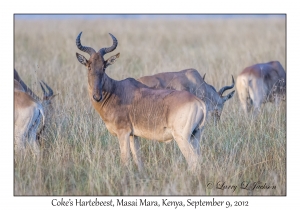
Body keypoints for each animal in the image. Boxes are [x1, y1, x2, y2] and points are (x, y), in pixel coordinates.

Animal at [75, 32, 206, 171]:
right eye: (89, 66)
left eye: (104, 67)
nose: (97, 96)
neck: (115, 89)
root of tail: (199, 103)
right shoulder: (133, 135)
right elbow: (138, 160)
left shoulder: (123, 133)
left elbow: (125, 160)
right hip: (195, 136)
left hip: (182, 137)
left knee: (193, 161)